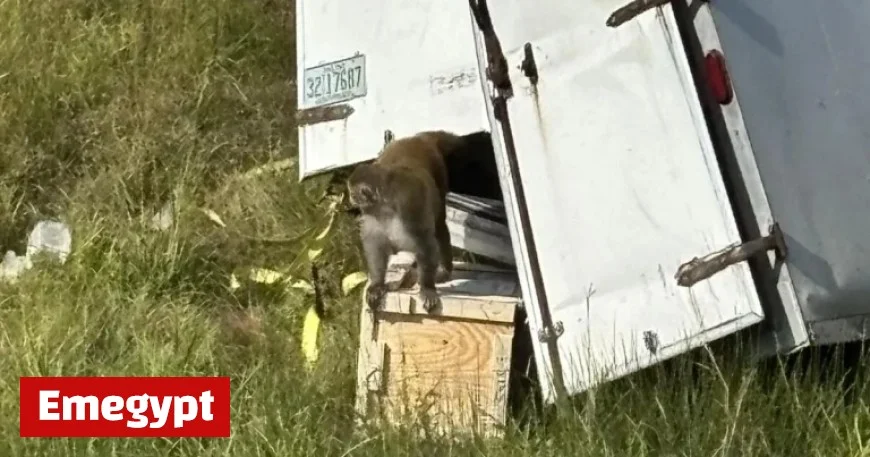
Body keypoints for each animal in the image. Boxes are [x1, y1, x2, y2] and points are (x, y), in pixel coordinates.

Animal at [347, 131, 462, 313]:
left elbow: (425, 244)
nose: (350, 198)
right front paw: (377, 284)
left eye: (353, 193)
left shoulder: (409, 207)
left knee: (439, 226)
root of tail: (417, 138)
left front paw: (427, 288)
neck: (385, 206)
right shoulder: (372, 215)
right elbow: (375, 245)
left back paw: (444, 270)